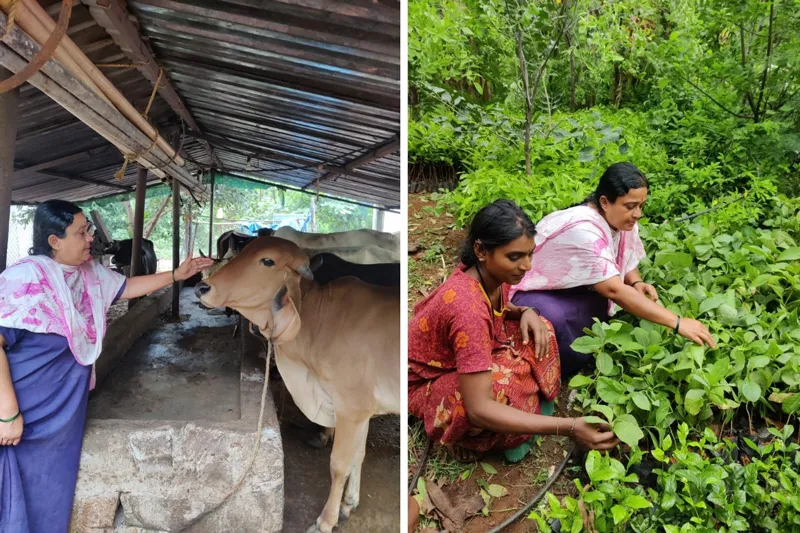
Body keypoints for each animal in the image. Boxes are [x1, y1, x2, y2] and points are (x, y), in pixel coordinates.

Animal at [195, 237, 400, 532]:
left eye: (267, 260)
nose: (202, 287)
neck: (321, 321)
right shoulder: (361, 411)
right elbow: (358, 455)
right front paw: (349, 504)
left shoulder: (351, 409)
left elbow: (339, 464)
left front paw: (325, 520)